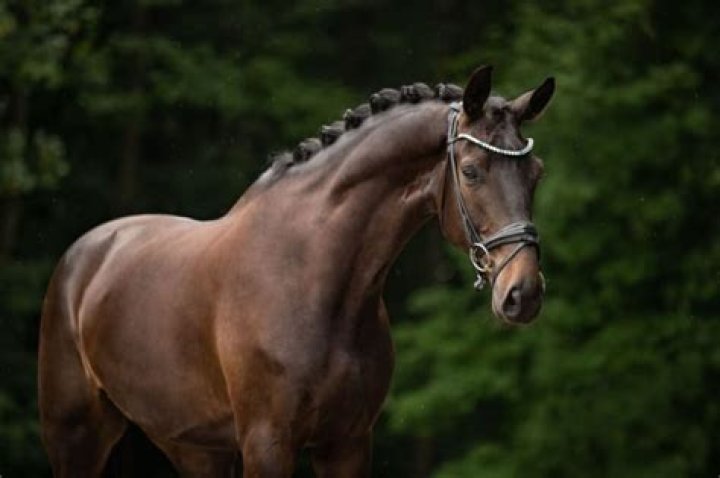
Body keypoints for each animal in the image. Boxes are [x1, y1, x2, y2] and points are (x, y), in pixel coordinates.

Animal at [38, 65, 554, 477]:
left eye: (537, 173)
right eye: (471, 171)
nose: (523, 293)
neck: (314, 278)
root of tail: (87, 252)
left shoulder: (347, 443)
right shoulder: (267, 443)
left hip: (194, 447)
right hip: (77, 437)